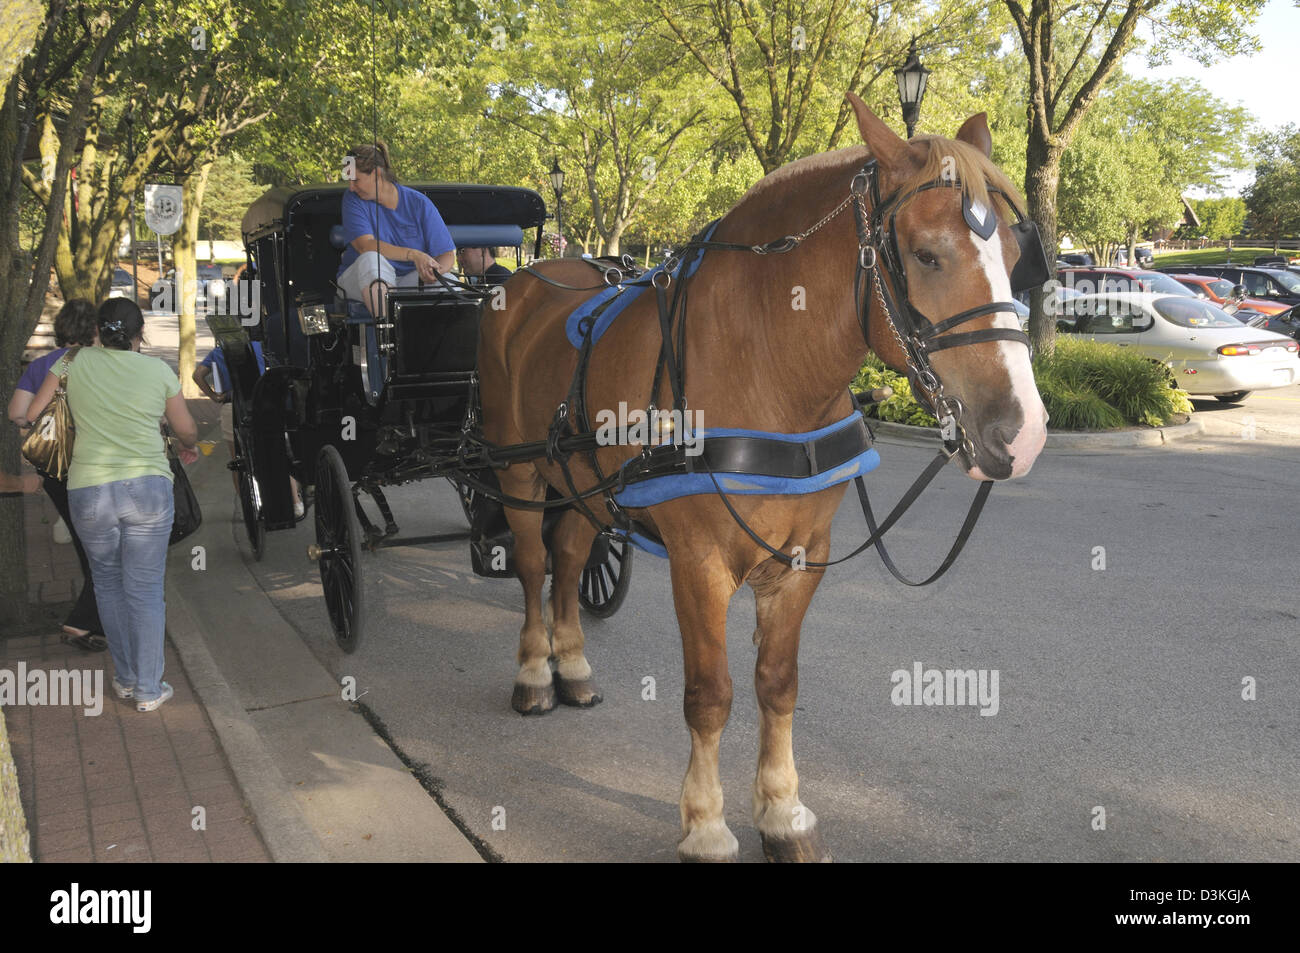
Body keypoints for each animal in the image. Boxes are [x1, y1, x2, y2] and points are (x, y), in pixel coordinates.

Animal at [476, 92, 1048, 862]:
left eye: (1015, 257)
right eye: (928, 254)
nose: (1023, 431)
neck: (766, 365)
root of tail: (530, 276)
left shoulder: (803, 556)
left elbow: (777, 684)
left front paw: (782, 811)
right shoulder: (698, 561)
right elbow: (710, 694)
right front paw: (706, 824)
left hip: (582, 478)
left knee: (568, 557)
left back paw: (572, 666)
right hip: (520, 469)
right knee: (536, 561)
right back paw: (536, 671)